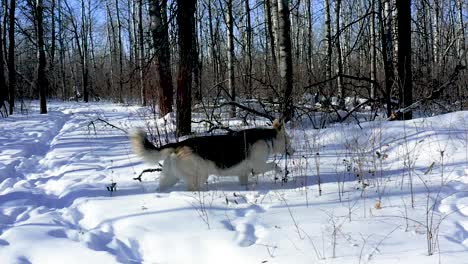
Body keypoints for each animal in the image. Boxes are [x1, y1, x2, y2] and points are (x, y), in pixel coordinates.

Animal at [130, 120, 294, 192]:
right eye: (288, 140)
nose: (293, 151)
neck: (268, 138)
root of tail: (178, 144)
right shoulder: (258, 167)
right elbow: (275, 165)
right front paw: (282, 175)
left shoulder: (243, 174)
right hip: (200, 174)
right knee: (193, 188)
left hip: (170, 177)